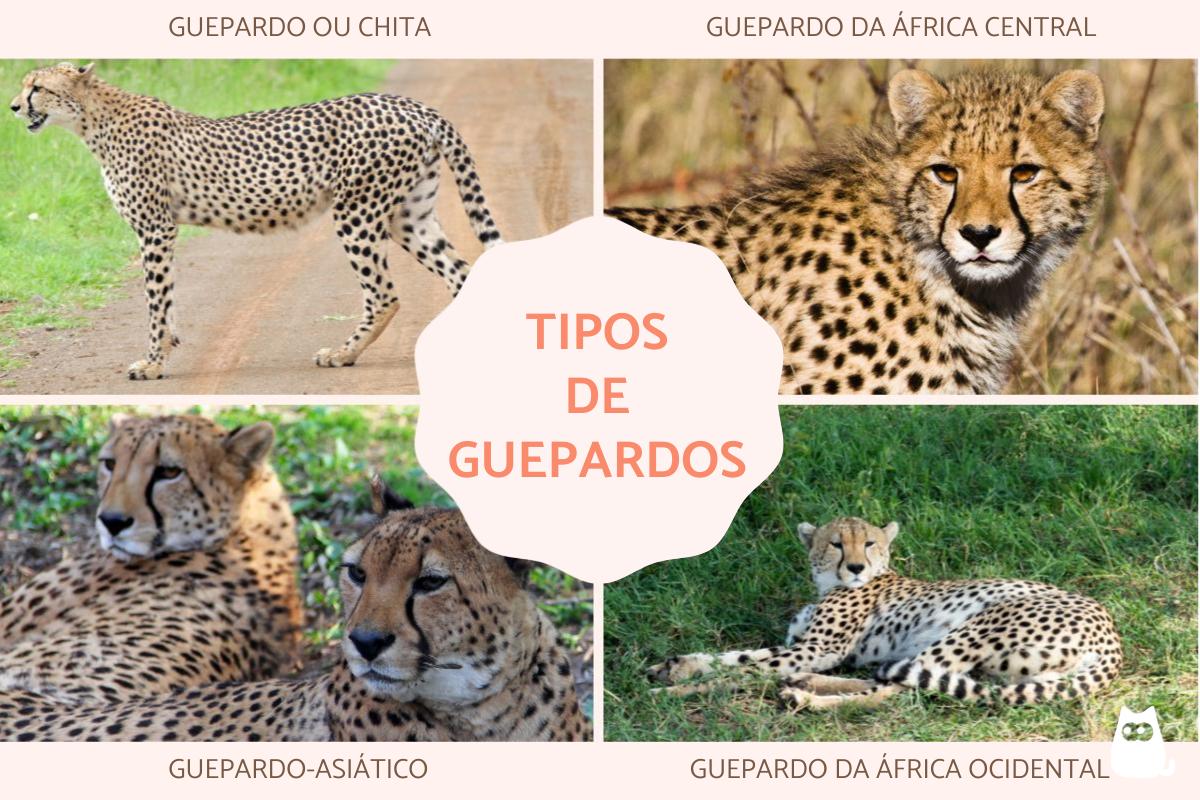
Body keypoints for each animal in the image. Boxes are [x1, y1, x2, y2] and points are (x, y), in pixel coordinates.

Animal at [9, 62, 503, 380]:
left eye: (37, 87)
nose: (13, 107)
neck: (93, 119)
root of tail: (411, 103)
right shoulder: (162, 230)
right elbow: (166, 298)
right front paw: (166, 349)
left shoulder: (155, 228)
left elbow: (156, 300)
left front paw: (151, 362)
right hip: (407, 215)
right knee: (460, 272)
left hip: (357, 212)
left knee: (384, 295)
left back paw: (342, 354)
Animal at [648, 517, 1122, 709]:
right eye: (836, 543)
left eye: (870, 543)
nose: (857, 567)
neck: (829, 585)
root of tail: (1113, 636)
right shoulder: (805, 646)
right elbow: (739, 657)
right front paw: (675, 666)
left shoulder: (817, 648)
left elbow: (743, 670)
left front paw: (678, 691)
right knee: (892, 678)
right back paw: (805, 685)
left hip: (977, 625)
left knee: (895, 689)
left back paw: (806, 697)